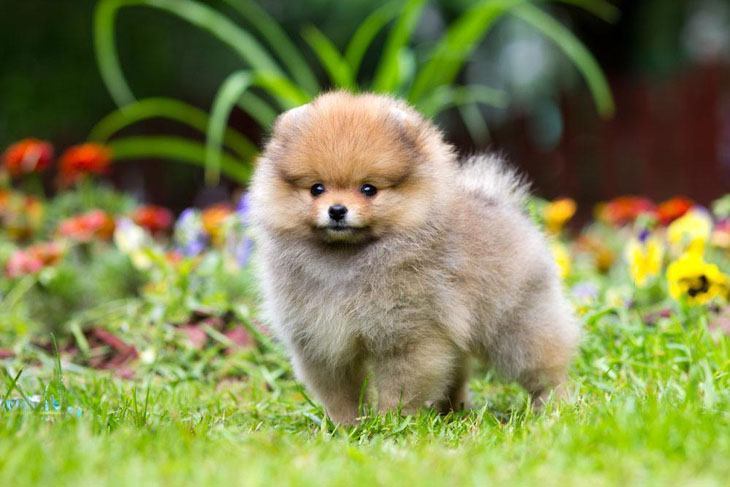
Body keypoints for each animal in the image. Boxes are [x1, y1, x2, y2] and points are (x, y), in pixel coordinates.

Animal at [250, 91, 580, 424]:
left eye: (368, 189)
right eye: (317, 189)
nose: (337, 210)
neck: (345, 260)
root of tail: (497, 201)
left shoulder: (407, 334)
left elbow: (400, 386)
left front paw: (390, 423)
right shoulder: (320, 340)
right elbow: (340, 393)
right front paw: (347, 426)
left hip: (518, 320)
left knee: (543, 367)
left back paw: (552, 406)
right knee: (457, 372)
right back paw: (453, 411)